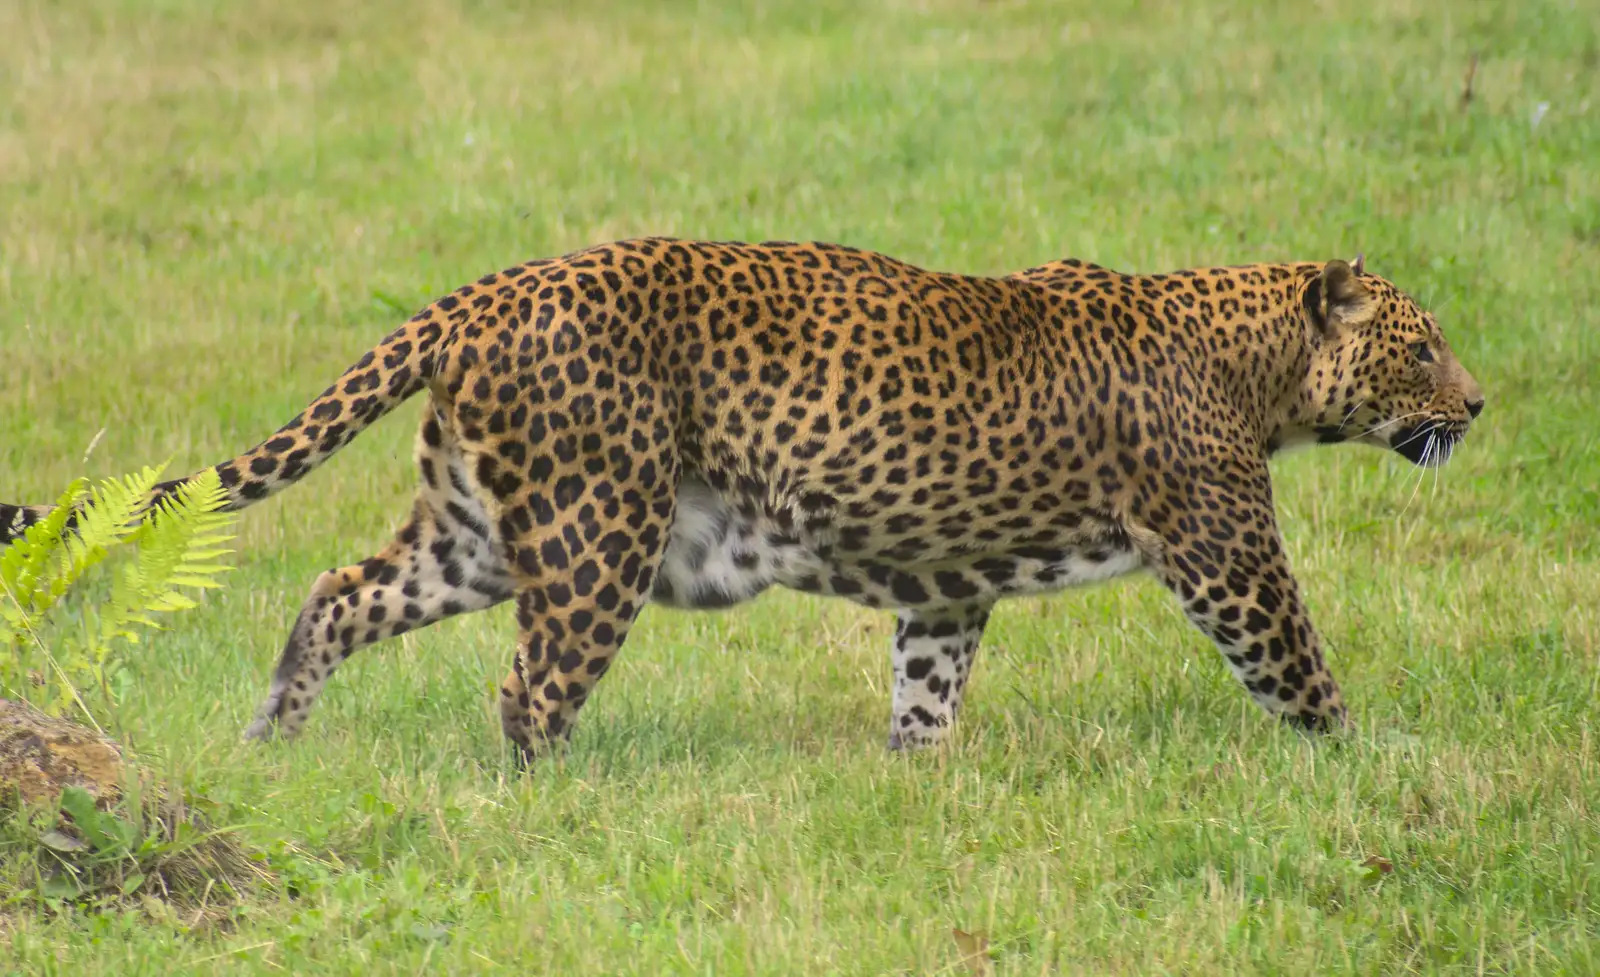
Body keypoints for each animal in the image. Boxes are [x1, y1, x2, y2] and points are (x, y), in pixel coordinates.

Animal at [0, 236, 1478, 757]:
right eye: (1420, 346)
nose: (1475, 406)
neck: (1258, 363)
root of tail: (488, 287)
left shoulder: (949, 587)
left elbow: (926, 688)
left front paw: (917, 780)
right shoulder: (1227, 554)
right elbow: (1302, 668)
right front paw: (1374, 761)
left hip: (474, 535)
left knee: (336, 591)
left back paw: (273, 737)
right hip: (597, 531)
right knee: (528, 689)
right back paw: (556, 802)